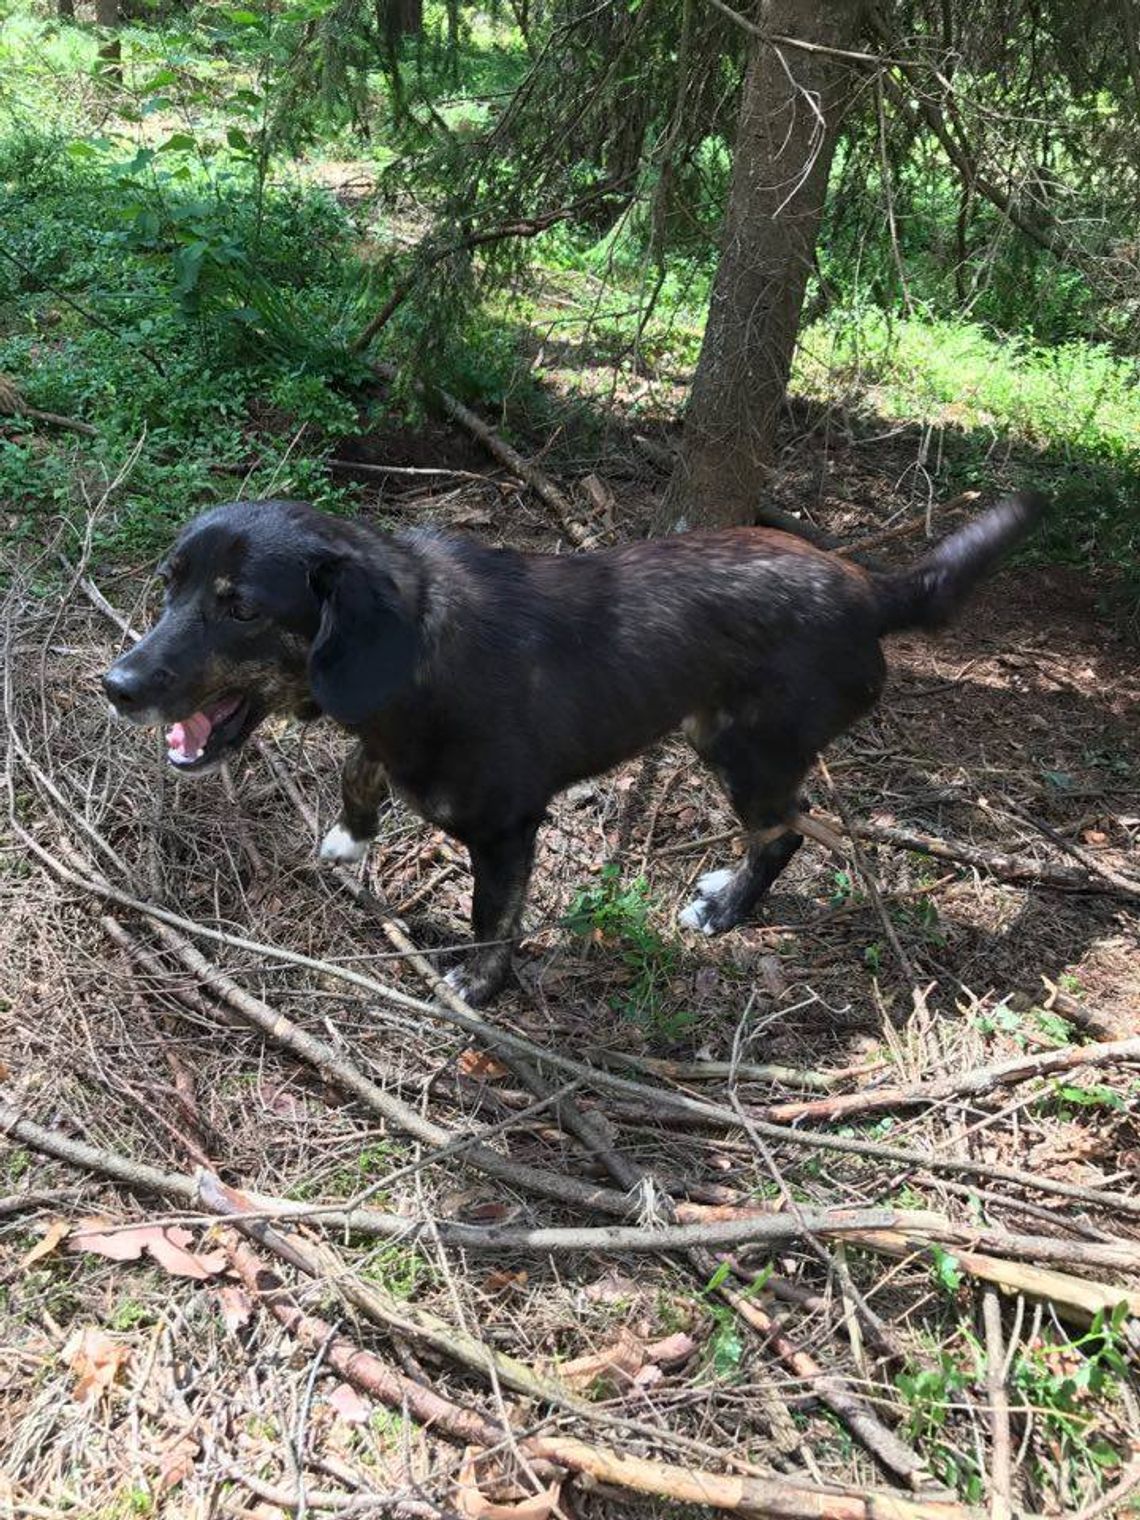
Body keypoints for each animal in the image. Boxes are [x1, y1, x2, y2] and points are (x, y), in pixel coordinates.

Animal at [104, 492, 1045, 1003]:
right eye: (169, 585)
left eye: (241, 608)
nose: (116, 685)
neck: (413, 656)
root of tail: (872, 589)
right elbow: (357, 766)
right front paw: (350, 833)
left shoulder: (507, 829)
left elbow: (493, 917)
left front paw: (477, 985)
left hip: (745, 750)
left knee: (785, 829)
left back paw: (727, 909)